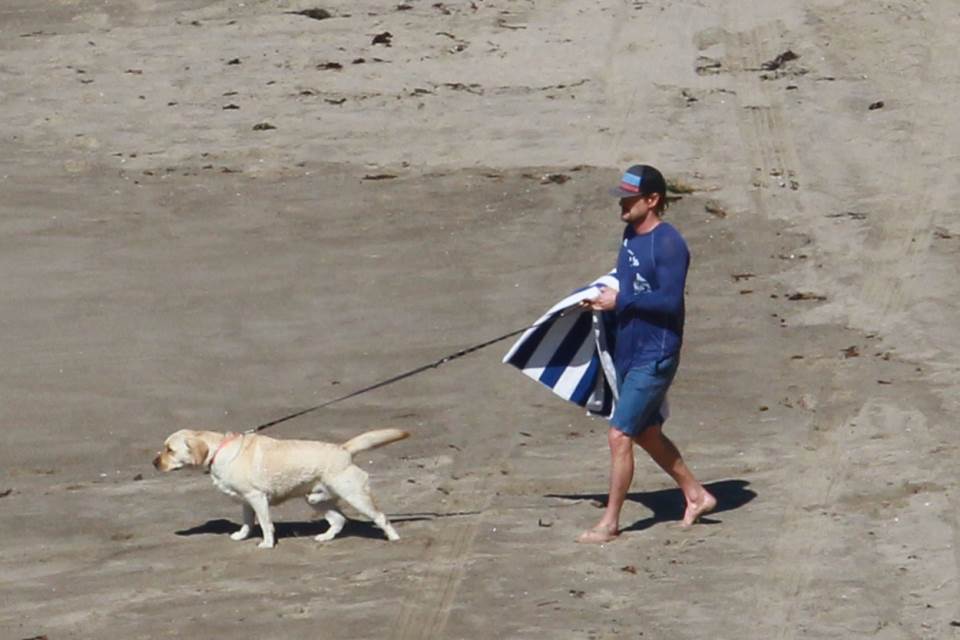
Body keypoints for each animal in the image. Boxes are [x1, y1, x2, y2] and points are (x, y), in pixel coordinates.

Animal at [152, 428, 406, 548]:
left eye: (169, 450)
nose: (154, 463)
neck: (219, 450)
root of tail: (343, 449)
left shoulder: (257, 498)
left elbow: (265, 524)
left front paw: (266, 543)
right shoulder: (246, 501)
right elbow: (247, 522)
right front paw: (242, 535)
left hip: (355, 495)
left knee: (380, 517)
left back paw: (393, 538)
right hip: (315, 499)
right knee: (338, 520)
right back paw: (325, 537)